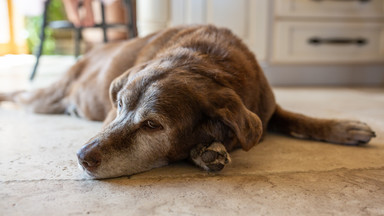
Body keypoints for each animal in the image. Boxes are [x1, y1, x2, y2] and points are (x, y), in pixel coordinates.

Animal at [0, 25, 376, 178]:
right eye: (119, 105)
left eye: (153, 125)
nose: (81, 157)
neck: (204, 59)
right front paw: (207, 150)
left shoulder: (267, 107)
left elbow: (298, 117)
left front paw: (345, 128)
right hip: (47, 97)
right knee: (22, 96)